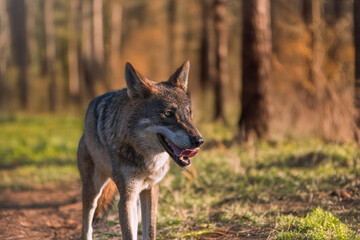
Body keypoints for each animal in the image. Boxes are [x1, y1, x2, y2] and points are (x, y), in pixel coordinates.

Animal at [77, 61, 204, 240]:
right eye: (168, 113)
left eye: (189, 113)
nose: (199, 141)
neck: (148, 158)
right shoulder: (126, 198)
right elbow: (129, 234)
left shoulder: (151, 189)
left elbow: (149, 232)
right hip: (93, 190)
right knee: (86, 226)